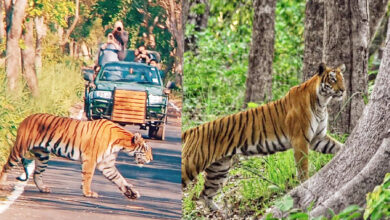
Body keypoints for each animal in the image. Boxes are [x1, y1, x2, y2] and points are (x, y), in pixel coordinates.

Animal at [0, 113, 152, 199]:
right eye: (146, 149)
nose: (151, 159)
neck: (119, 144)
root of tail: (26, 118)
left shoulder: (107, 165)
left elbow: (119, 179)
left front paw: (132, 193)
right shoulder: (90, 160)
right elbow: (88, 177)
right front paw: (88, 193)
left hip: (43, 155)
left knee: (37, 174)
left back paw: (44, 189)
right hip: (19, 149)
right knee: (6, 165)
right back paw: (2, 183)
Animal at [181, 62, 346, 211]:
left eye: (341, 78)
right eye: (332, 79)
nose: (343, 90)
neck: (322, 103)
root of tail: (193, 130)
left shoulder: (318, 138)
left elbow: (337, 146)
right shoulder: (300, 140)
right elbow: (303, 168)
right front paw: (305, 184)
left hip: (219, 169)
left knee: (205, 194)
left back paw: (219, 211)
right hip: (192, 164)